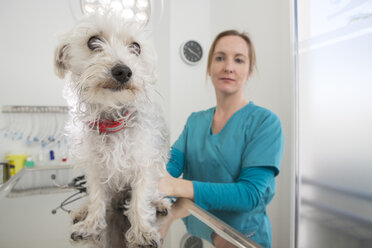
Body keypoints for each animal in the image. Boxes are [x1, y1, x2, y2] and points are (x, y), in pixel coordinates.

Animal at [54, 13, 171, 248]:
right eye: (93, 41)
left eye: (136, 47)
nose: (123, 71)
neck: (112, 119)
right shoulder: (95, 169)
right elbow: (97, 199)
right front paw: (90, 224)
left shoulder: (144, 164)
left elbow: (139, 200)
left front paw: (142, 231)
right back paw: (82, 210)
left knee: (152, 195)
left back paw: (160, 203)